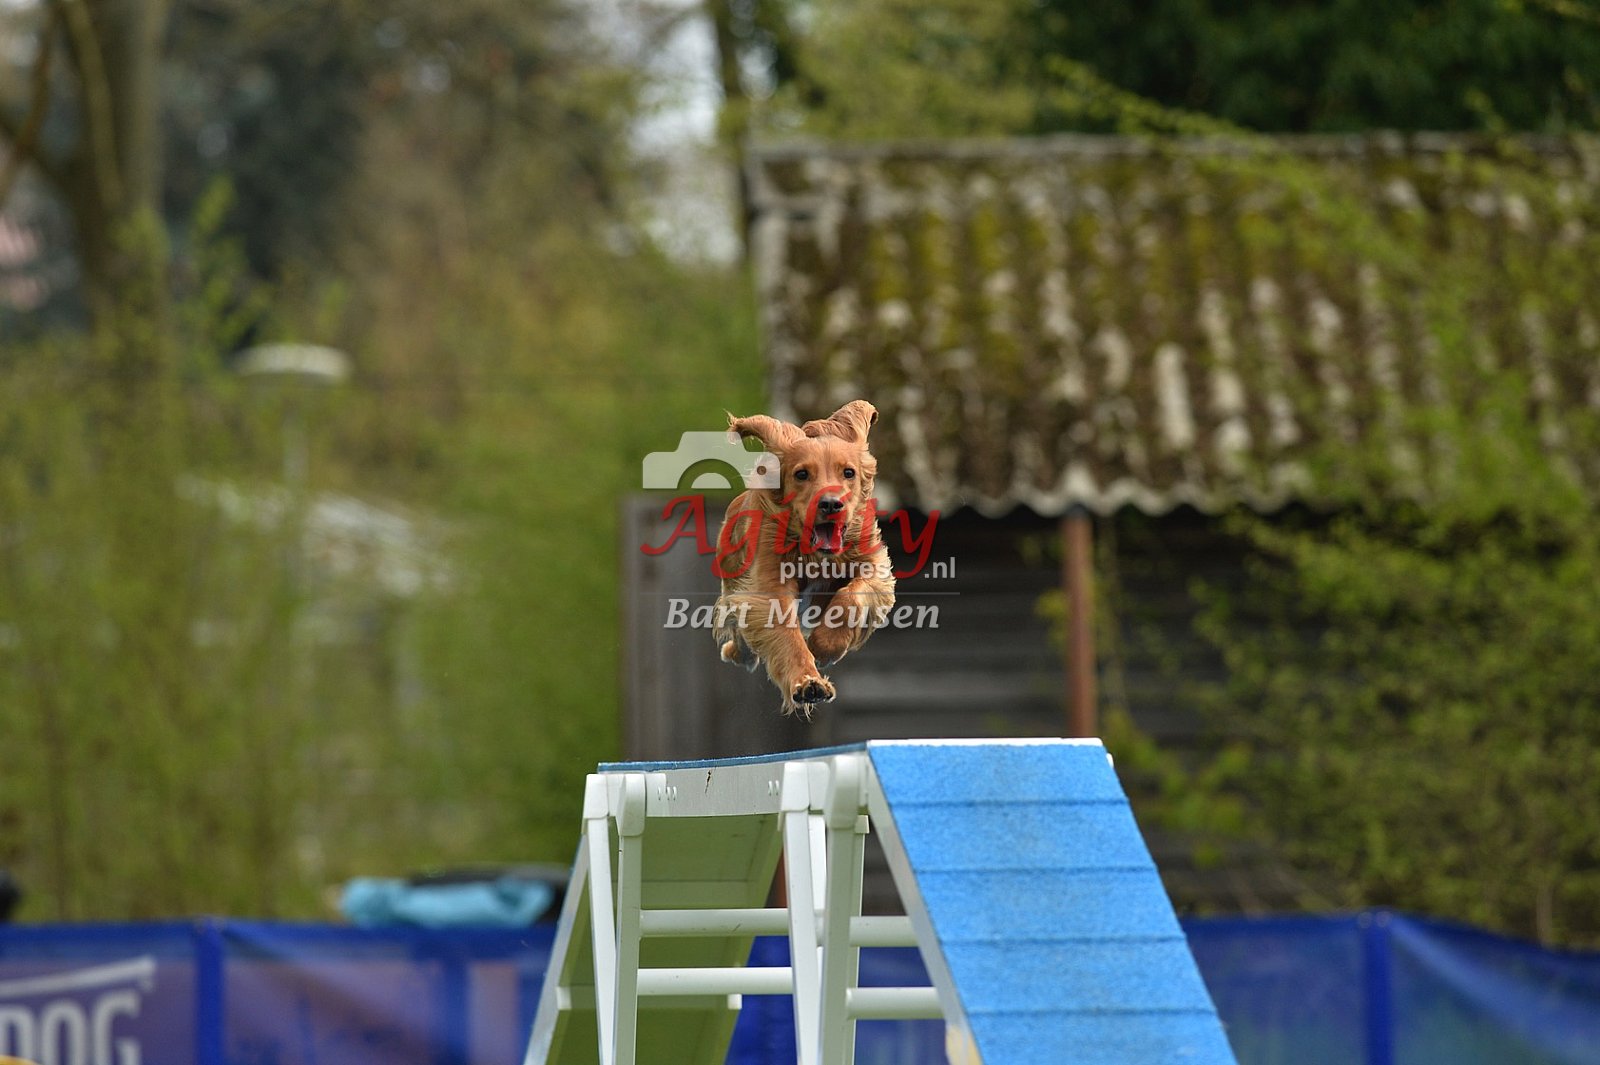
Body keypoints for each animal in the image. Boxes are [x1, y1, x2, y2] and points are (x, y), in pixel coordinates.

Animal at [712, 400, 897, 715]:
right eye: (801, 474)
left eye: (848, 472)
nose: (831, 504)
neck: (815, 553)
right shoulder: (768, 584)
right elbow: (785, 633)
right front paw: (808, 683)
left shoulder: (873, 565)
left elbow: (852, 595)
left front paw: (826, 644)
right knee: (741, 636)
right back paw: (736, 652)